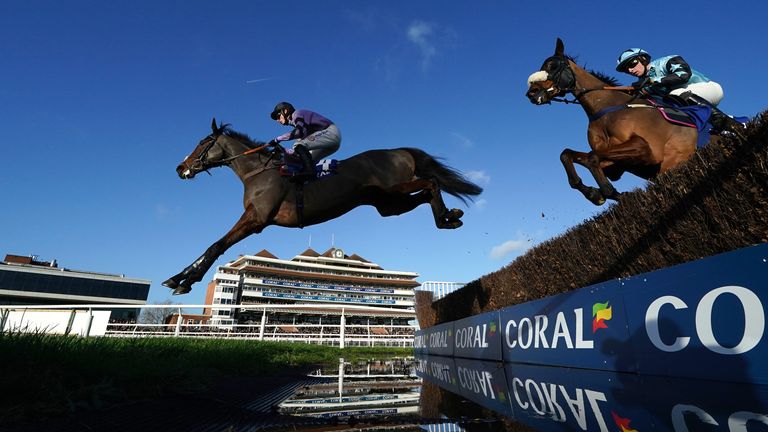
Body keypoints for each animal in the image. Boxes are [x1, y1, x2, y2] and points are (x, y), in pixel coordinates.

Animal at [164, 118, 480, 294]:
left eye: (203, 142)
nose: (180, 167)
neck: (258, 172)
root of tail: (399, 151)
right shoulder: (253, 218)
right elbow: (213, 245)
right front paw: (177, 278)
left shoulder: (257, 219)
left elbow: (217, 245)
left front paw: (186, 281)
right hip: (388, 204)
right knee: (425, 193)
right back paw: (449, 217)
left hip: (393, 191)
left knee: (431, 183)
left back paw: (447, 217)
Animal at [524, 38, 716, 205]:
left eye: (552, 65)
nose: (531, 93)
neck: (606, 109)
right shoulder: (617, 165)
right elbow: (568, 155)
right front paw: (594, 193)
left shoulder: (647, 149)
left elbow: (592, 158)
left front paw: (607, 192)